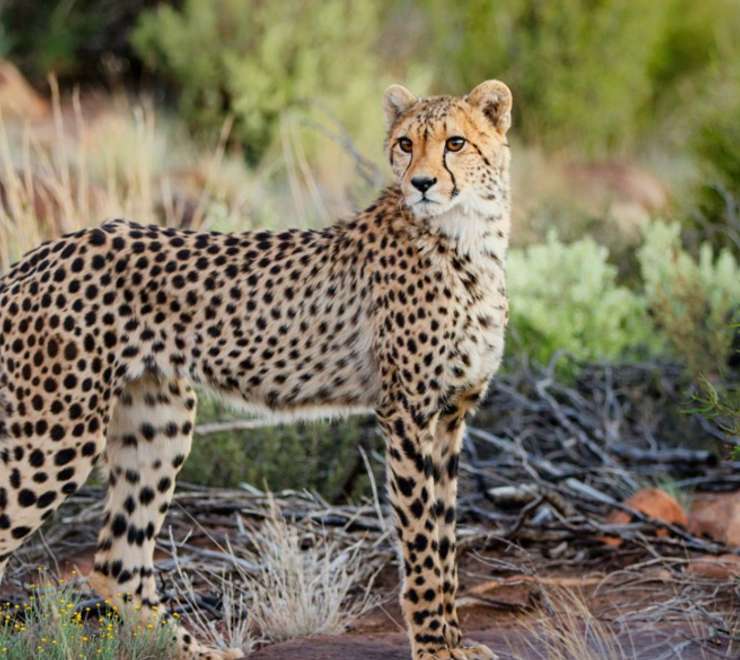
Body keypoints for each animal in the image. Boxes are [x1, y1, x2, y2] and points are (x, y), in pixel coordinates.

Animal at [0, 79, 512, 659]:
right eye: (406, 143)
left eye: (455, 143)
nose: (422, 183)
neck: (468, 233)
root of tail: (43, 251)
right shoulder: (408, 414)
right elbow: (423, 542)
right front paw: (432, 647)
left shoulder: (450, 416)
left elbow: (446, 539)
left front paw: (454, 642)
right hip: (57, 434)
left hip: (159, 418)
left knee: (118, 562)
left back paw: (199, 652)